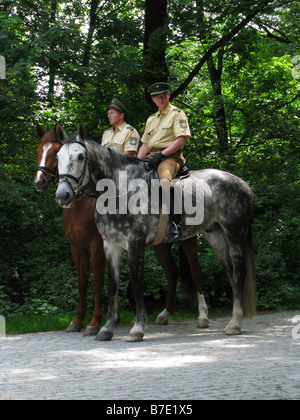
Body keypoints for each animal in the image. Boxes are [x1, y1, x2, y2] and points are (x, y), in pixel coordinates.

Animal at [34, 124, 210, 334]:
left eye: (80, 157)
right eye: (43, 151)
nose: (40, 183)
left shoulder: (98, 246)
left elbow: (98, 282)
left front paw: (94, 323)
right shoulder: (77, 247)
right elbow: (83, 283)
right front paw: (78, 321)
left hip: (187, 240)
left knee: (196, 272)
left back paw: (203, 317)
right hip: (160, 244)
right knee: (171, 271)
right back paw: (165, 314)